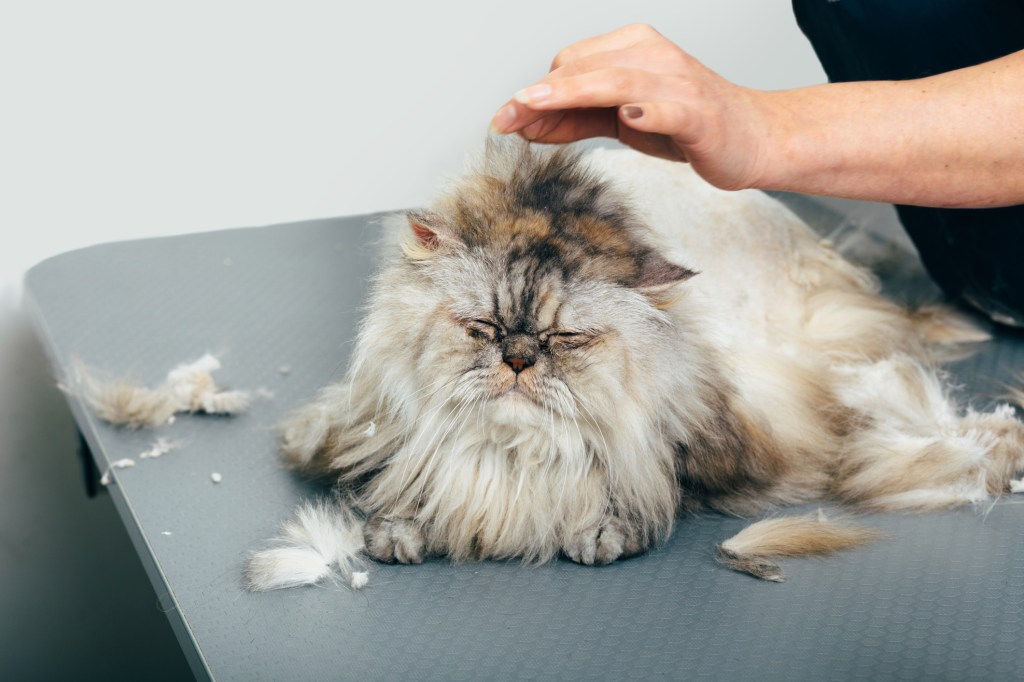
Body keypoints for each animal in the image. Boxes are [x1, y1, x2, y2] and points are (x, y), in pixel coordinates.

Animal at [245, 135, 1024, 585]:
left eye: (563, 339)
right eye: (484, 328)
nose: (519, 358)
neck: (513, 462)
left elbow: (641, 485)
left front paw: (601, 531)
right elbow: (403, 480)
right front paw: (400, 528)